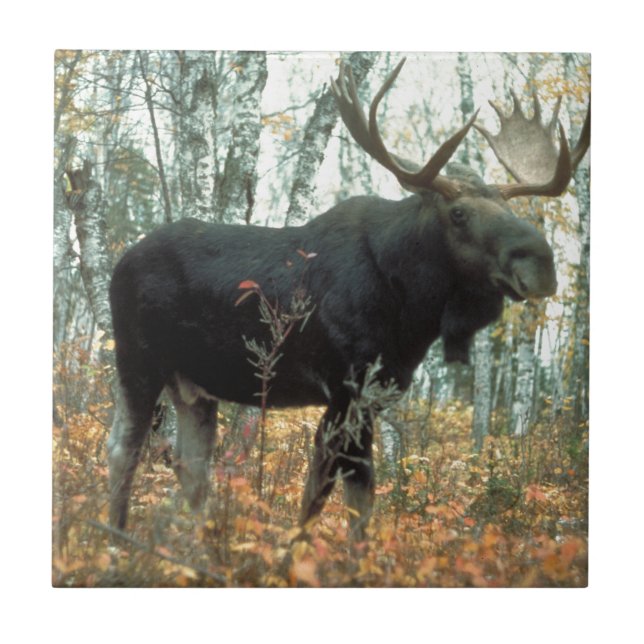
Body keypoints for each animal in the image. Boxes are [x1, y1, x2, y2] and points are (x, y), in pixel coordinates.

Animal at [107, 57, 590, 541]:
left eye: (510, 210)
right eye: (458, 214)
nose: (541, 262)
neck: (413, 311)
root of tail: (120, 262)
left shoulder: (374, 393)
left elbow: (344, 496)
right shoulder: (346, 387)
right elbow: (336, 495)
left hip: (193, 387)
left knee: (190, 468)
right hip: (138, 360)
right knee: (123, 449)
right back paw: (117, 539)